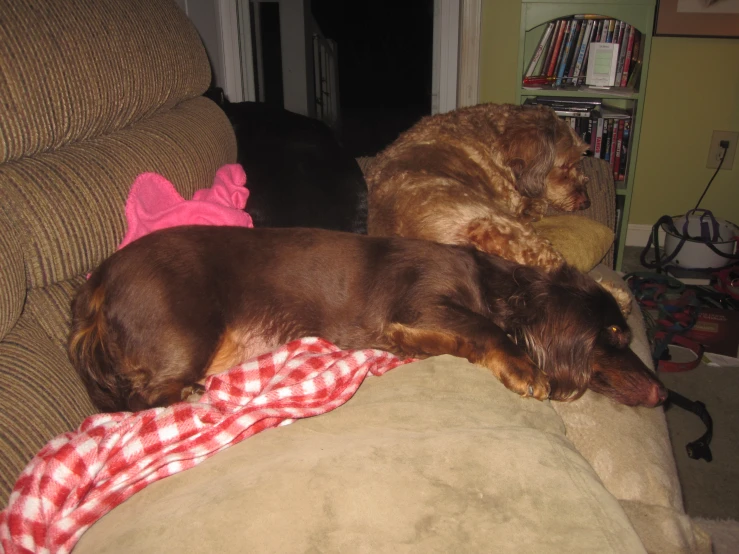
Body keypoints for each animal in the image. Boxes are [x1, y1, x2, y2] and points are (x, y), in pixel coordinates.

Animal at [71, 224, 672, 410]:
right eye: (615, 335)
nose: (664, 394)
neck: (498, 285)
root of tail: (97, 281)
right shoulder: (425, 298)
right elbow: (490, 328)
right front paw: (527, 369)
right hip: (186, 332)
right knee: (138, 398)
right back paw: (188, 395)